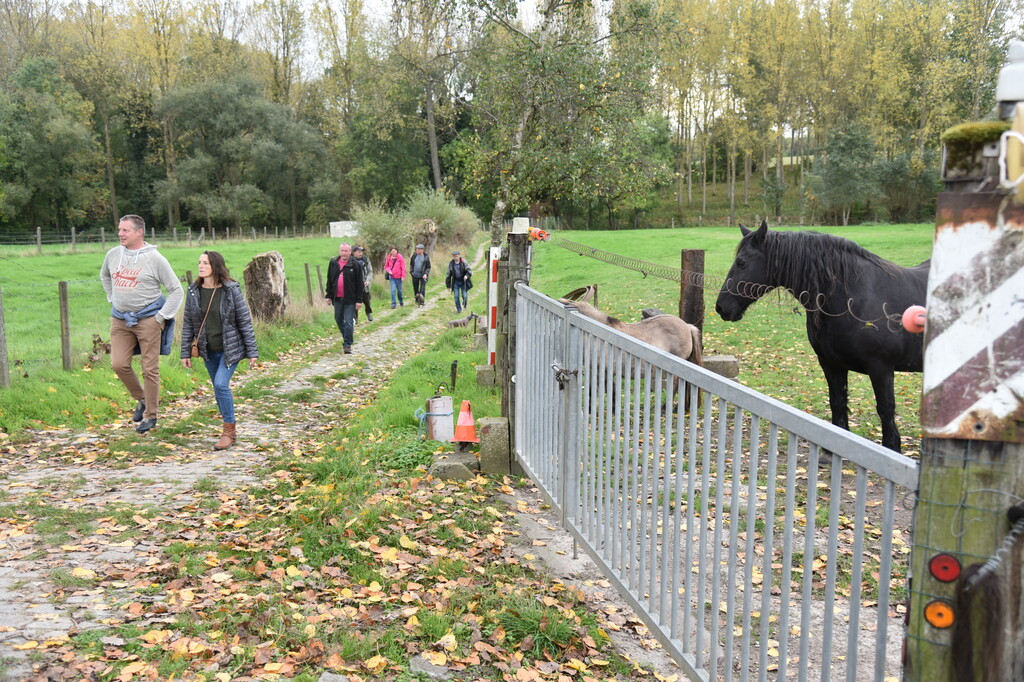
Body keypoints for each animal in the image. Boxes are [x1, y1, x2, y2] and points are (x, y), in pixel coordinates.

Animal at [716, 220, 933, 448]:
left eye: (741, 262)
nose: (721, 307)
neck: (853, 298)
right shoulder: (831, 364)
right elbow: (837, 403)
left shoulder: (881, 369)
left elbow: (885, 410)